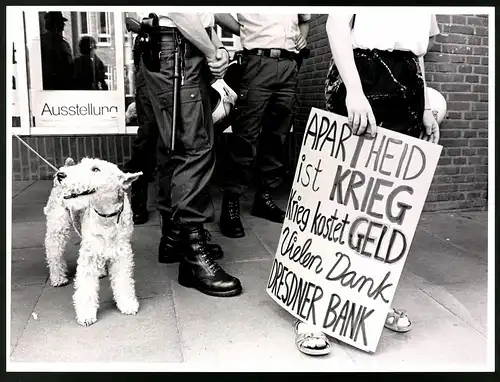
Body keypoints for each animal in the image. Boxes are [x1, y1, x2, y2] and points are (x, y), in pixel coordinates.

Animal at [43, 157, 143, 326]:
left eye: (96, 169)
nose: (61, 176)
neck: (106, 216)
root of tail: (64, 165)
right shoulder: (88, 257)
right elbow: (86, 287)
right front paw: (86, 315)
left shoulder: (122, 254)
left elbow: (123, 281)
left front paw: (127, 304)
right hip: (57, 229)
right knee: (54, 254)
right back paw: (58, 278)